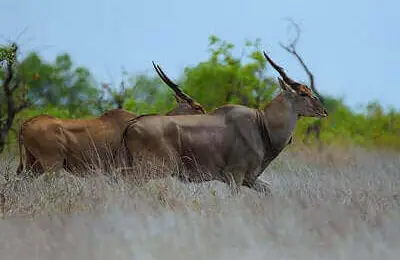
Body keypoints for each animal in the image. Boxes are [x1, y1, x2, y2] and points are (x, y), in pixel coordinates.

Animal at [122, 49, 328, 195]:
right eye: (303, 93)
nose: (324, 111)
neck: (262, 124)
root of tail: (131, 126)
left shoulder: (250, 180)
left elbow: (270, 190)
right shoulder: (235, 176)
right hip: (150, 171)